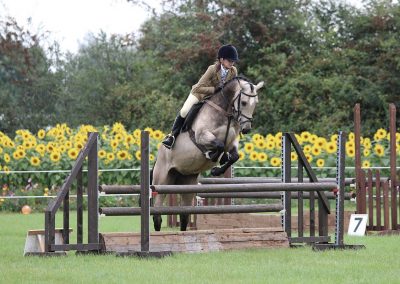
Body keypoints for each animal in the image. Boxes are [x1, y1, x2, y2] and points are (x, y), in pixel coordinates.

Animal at [152, 77, 264, 231]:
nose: (246, 129)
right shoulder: (201, 136)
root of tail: (159, 155)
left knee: (184, 214)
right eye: (244, 103)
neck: (225, 112)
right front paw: (212, 156)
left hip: (187, 183)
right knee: (157, 214)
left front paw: (218, 168)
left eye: (256, 103)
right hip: (162, 181)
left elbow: (234, 155)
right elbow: (219, 145)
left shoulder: (232, 142)